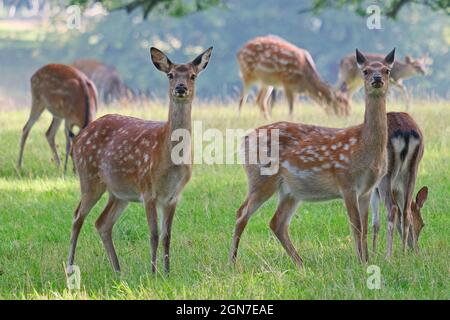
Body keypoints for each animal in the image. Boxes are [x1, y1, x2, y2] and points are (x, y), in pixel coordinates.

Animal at [66, 46, 214, 274]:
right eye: (170, 75)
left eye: (192, 75)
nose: (180, 88)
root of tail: (79, 137)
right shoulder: (147, 189)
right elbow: (153, 235)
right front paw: (153, 273)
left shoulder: (173, 196)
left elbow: (167, 236)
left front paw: (167, 272)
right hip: (89, 178)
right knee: (77, 217)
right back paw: (70, 266)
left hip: (119, 193)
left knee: (102, 223)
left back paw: (118, 270)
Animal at [230, 47, 396, 268]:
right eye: (366, 70)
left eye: (387, 70)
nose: (377, 79)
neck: (365, 148)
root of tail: (244, 140)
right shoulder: (346, 181)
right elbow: (356, 226)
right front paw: (361, 262)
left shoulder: (367, 189)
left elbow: (365, 227)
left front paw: (366, 260)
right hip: (261, 177)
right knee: (242, 213)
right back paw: (232, 262)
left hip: (290, 190)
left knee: (277, 222)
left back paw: (300, 264)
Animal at [370, 111, 430, 256]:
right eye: (422, 224)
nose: (415, 248)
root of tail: (406, 132)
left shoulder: (372, 189)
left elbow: (375, 222)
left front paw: (372, 254)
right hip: (413, 171)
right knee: (406, 211)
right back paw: (403, 254)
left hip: (384, 176)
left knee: (392, 208)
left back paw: (388, 256)